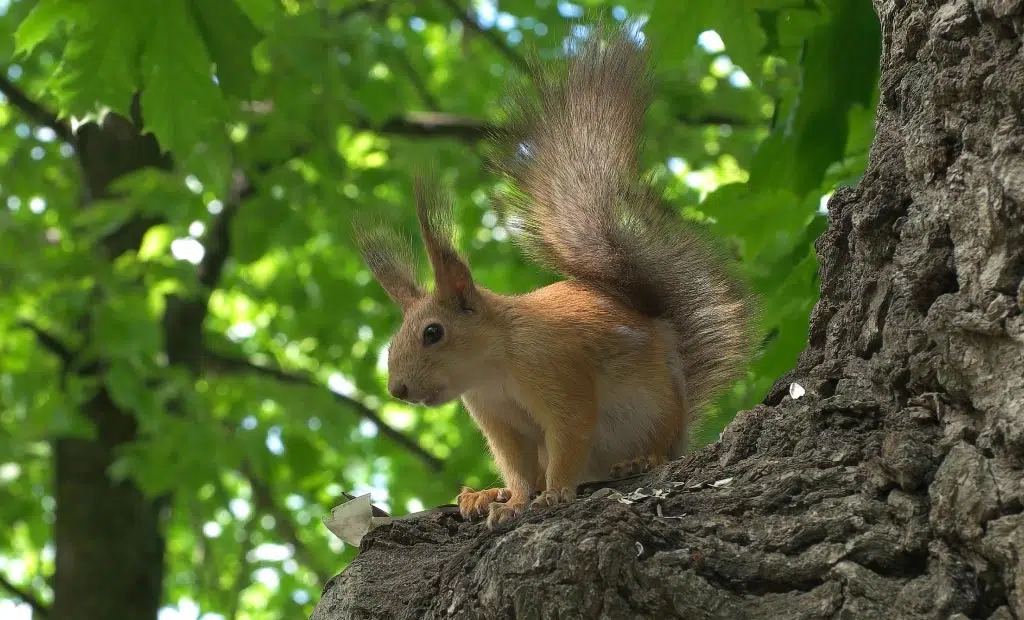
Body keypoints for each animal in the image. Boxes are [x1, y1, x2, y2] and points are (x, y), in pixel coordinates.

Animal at [356, 22, 757, 528]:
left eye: (433, 332)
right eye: (394, 341)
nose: (399, 390)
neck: (494, 365)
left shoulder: (557, 370)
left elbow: (569, 435)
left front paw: (552, 495)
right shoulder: (497, 419)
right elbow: (517, 465)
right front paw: (510, 498)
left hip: (659, 413)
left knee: (658, 448)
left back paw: (641, 460)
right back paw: (485, 493)